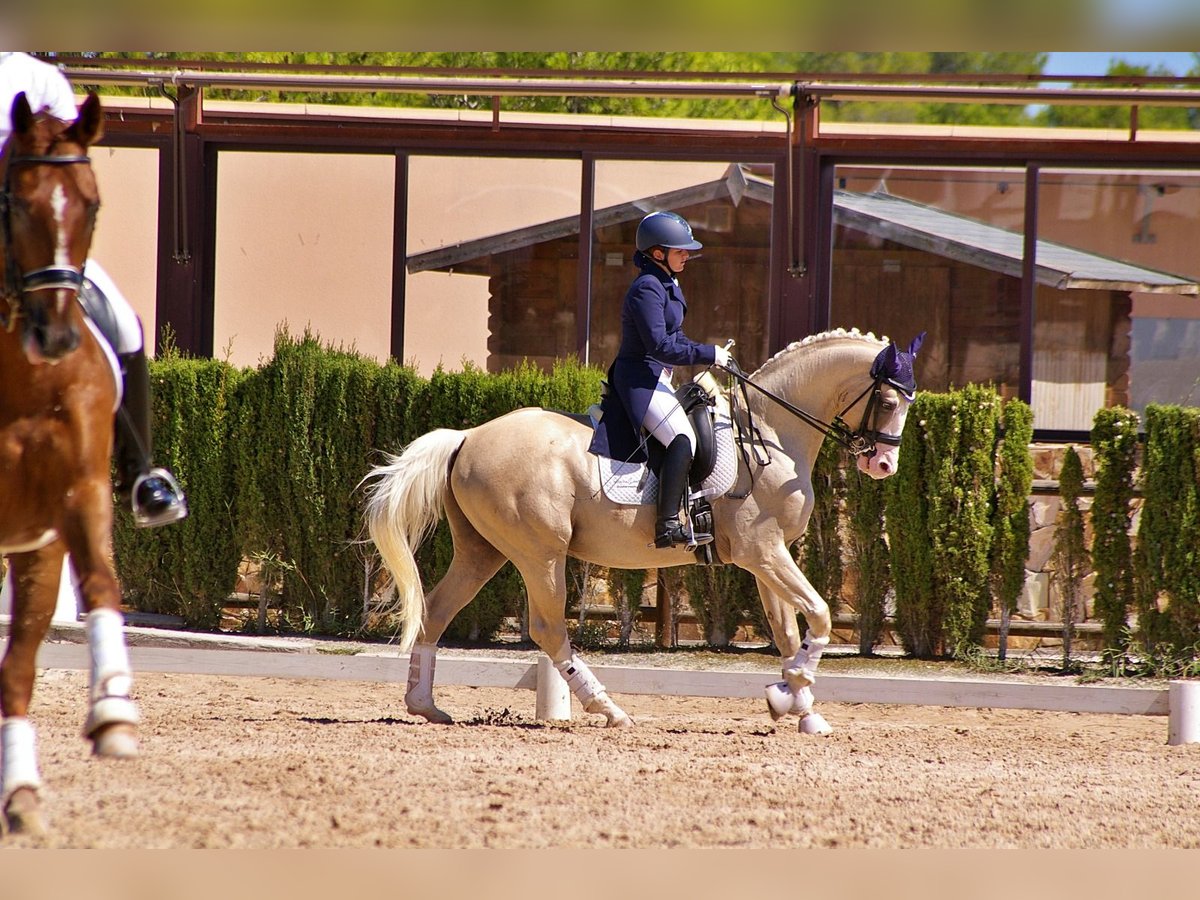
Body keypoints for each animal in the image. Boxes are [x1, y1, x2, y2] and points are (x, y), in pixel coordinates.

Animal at [360, 328, 921, 734]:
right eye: (889, 402)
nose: (885, 465)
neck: (769, 434)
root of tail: (468, 436)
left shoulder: (769, 556)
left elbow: (788, 632)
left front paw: (800, 710)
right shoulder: (763, 551)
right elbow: (820, 614)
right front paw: (791, 691)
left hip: (483, 551)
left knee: (437, 610)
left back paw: (424, 706)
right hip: (540, 552)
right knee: (549, 628)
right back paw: (610, 711)